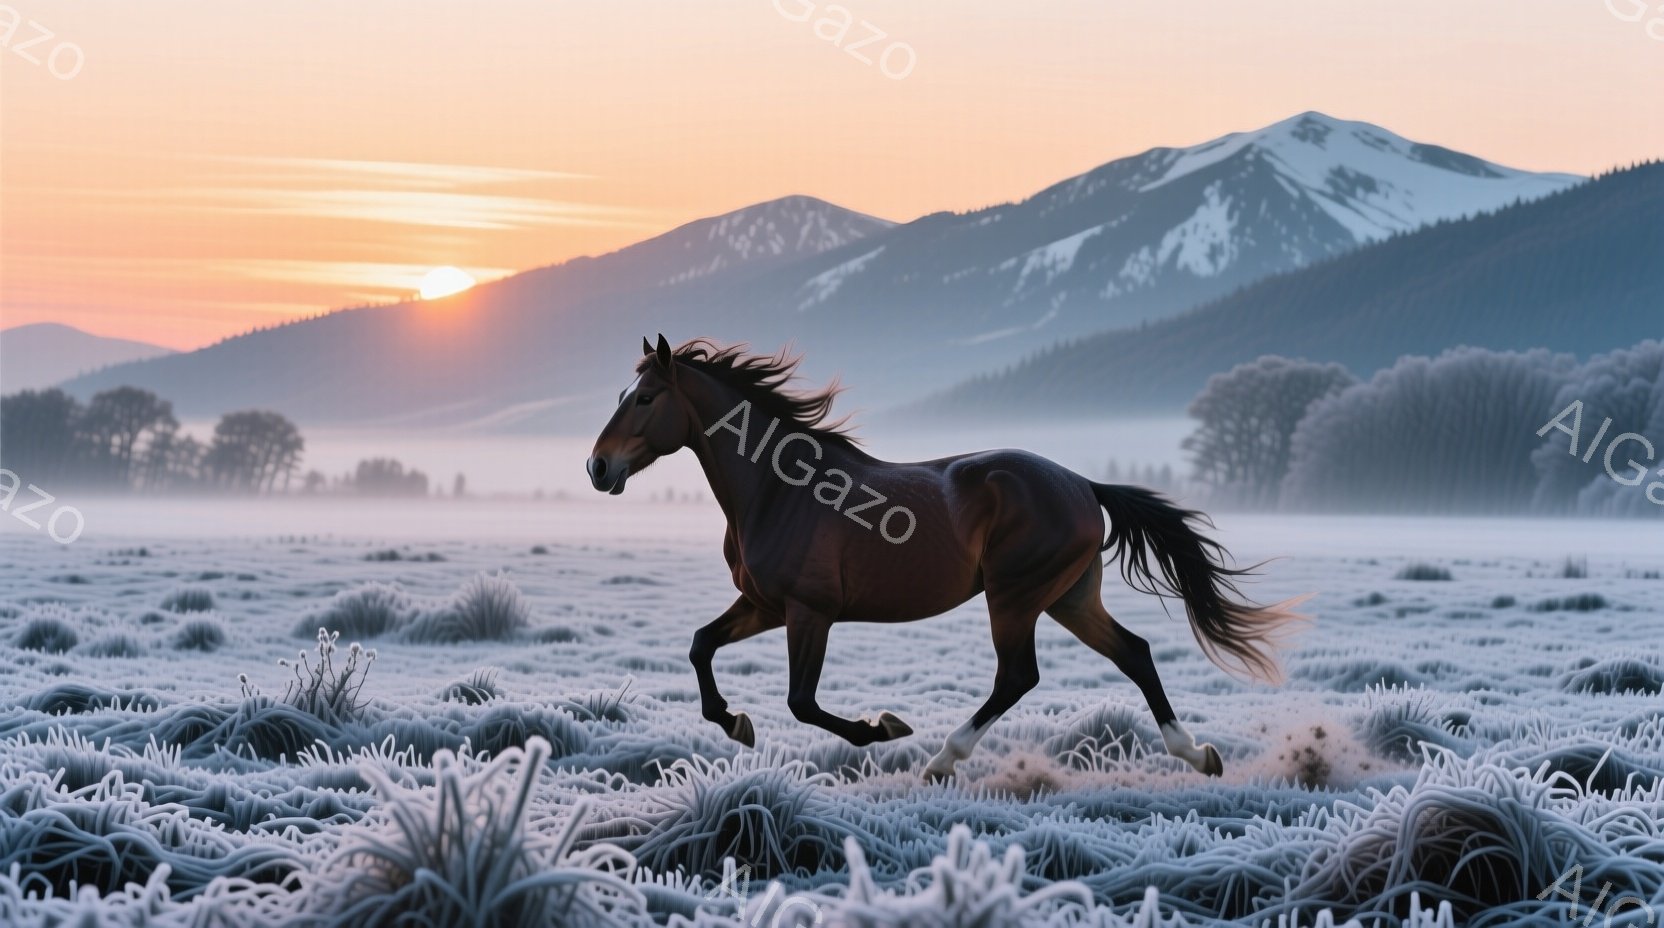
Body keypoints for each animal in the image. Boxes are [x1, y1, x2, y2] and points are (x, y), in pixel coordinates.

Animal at [587, 335, 1304, 780]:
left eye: (645, 399)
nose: (598, 468)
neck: (778, 491)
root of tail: (1082, 485)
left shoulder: (809, 611)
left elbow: (801, 702)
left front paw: (883, 728)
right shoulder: (764, 604)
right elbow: (701, 646)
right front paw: (735, 723)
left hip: (1015, 597)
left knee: (1019, 676)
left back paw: (941, 760)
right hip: (1070, 598)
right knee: (1134, 652)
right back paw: (1198, 755)